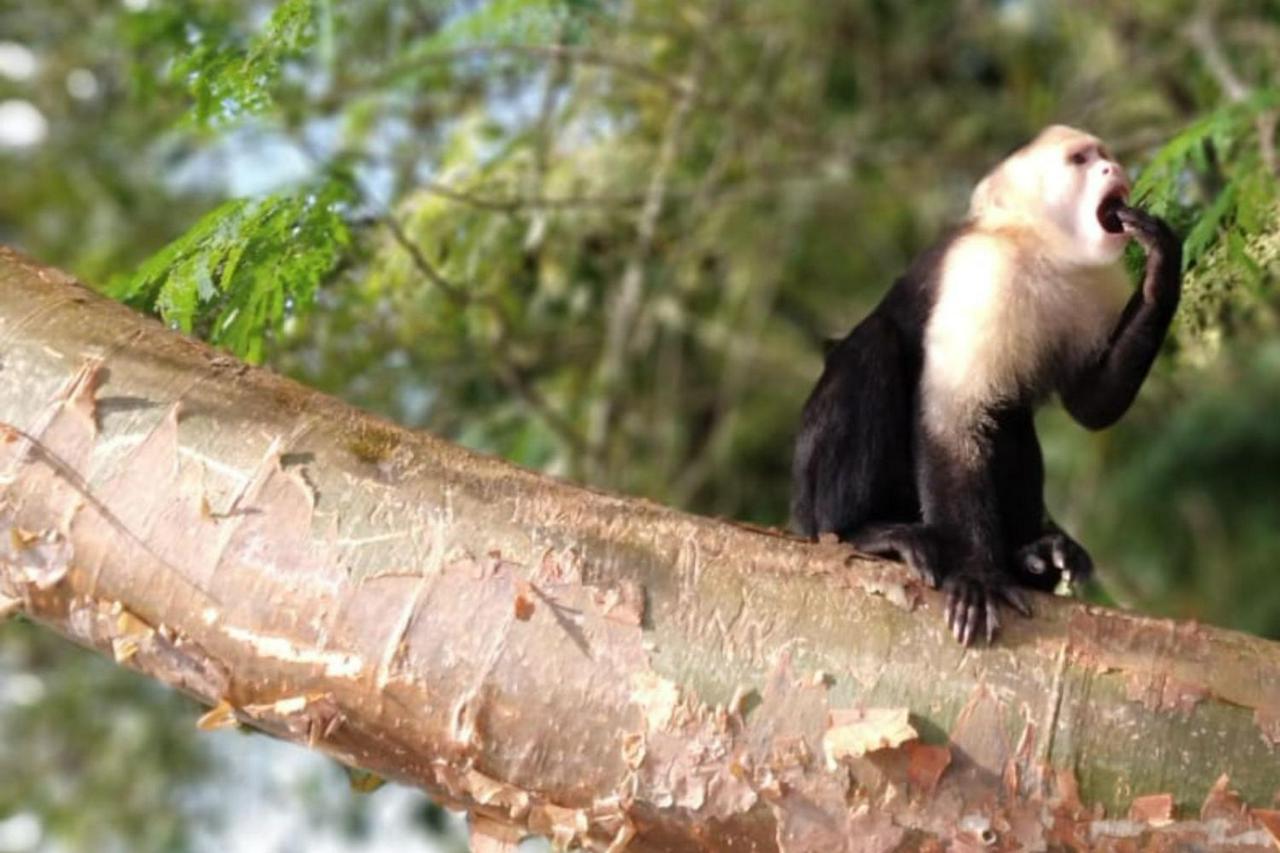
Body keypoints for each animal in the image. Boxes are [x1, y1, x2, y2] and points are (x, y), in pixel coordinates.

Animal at [790, 125, 1182, 645]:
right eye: (1080, 160)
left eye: (1104, 155)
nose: (1112, 168)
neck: (1039, 249)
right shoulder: (983, 274)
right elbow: (950, 422)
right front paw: (977, 575)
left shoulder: (1099, 284)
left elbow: (1092, 406)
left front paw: (1163, 271)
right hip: (809, 491)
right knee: (877, 344)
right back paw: (859, 533)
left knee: (1009, 413)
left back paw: (1033, 556)